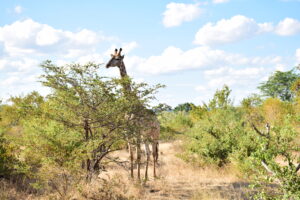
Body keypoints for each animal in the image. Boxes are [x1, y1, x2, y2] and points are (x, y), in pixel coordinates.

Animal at [105, 48, 158, 180]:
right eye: (110, 57)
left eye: (117, 58)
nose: (106, 65)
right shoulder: (128, 132)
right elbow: (131, 155)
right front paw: (132, 177)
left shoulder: (137, 132)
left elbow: (138, 156)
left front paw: (137, 178)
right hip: (145, 136)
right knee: (148, 153)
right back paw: (146, 177)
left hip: (155, 135)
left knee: (154, 153)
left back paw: (154, 176)